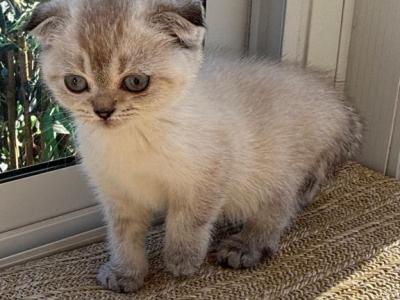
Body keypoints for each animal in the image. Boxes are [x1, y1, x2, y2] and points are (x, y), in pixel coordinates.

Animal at [25, 0, 362, 292]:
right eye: (76, 83)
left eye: (136, 82)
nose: (103, 112)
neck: (132, 139)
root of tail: (336, 102)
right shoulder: (118, 194)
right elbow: (122, 236)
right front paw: (125, 273)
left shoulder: (209, 174)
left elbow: (189, 221)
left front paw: (181, 260)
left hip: (278, 170)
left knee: (277, 211)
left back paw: (245, 246)